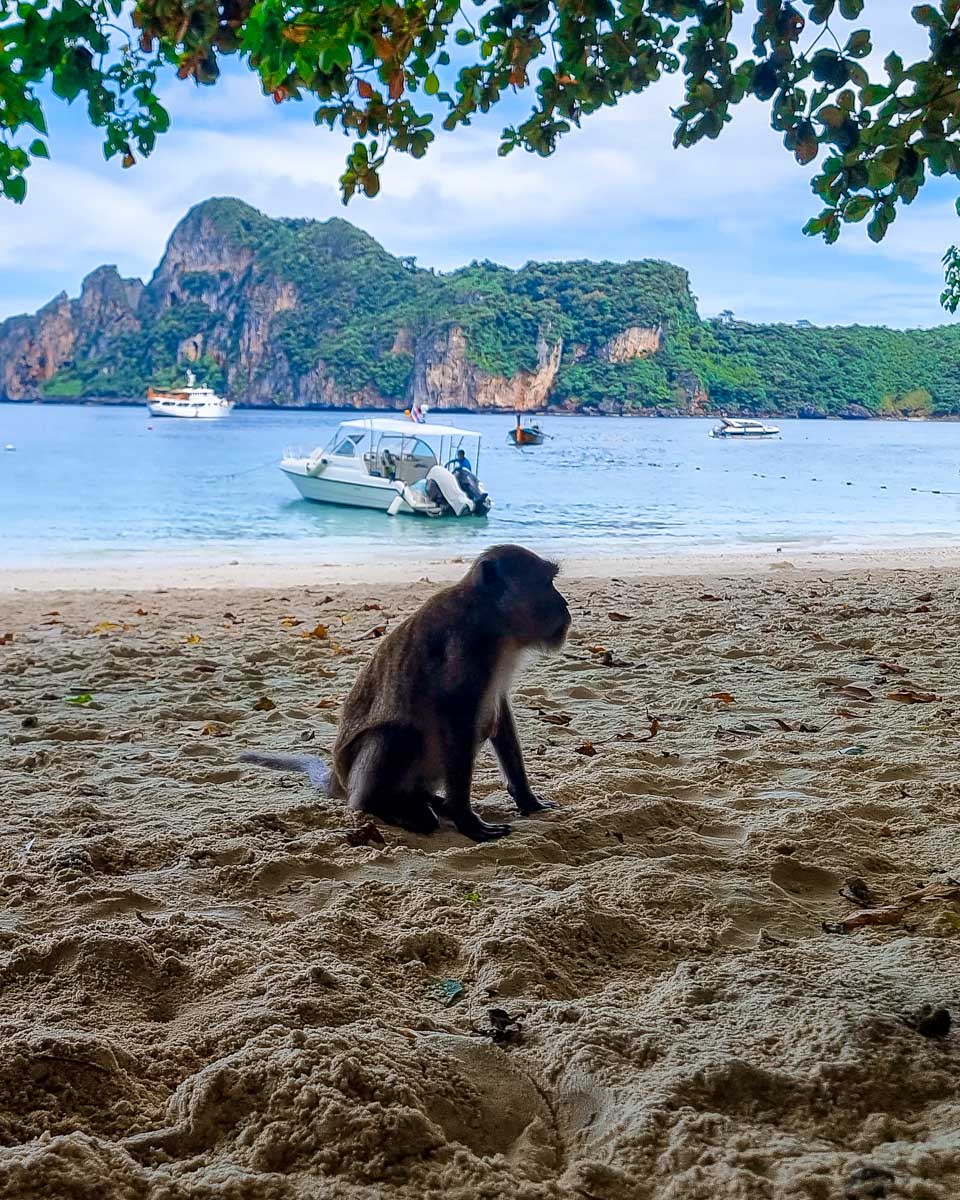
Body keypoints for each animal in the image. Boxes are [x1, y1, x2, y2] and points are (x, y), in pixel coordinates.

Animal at [241, 544, 570, 842]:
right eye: (547, 583)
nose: (565, 605)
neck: (490, 615)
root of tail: (339, 781)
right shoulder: (465, 647)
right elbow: (456, 718)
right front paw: (466, 820)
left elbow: (498, 715)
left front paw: (527, 799)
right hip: (364, 781)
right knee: (399, 734)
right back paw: (392, 807)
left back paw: (427, 800)